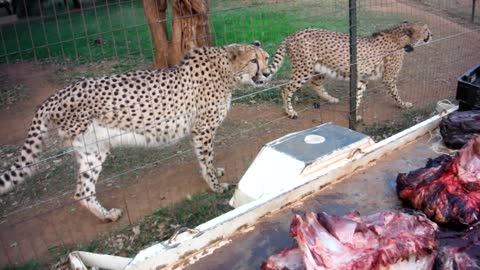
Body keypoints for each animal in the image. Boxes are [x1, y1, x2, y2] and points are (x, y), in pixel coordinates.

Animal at [0, 41, 270, 221]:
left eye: (266, 58)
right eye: (253, 61)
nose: (268, 73)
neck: (227, 71)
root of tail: (55, 96)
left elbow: (206, 160)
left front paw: (215, 173)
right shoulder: (202, 129)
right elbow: (206, 159)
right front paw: (215, 185)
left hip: (93, 150)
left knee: (81, 191)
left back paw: (107, 215)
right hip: (92, 144)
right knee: (82, 189)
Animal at [264, 21, 434, 121]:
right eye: (426, 29)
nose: (432, 35)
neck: (399, 36)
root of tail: (293, 34)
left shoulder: (362, 78)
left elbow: (357, 96)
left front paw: (354, 115)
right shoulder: (388, 78)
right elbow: (395, 94)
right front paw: (403, 104)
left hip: (320, 68)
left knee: (315, 83)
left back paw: (330, 99)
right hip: (303, 69)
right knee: (286, 89)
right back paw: (290, 112)